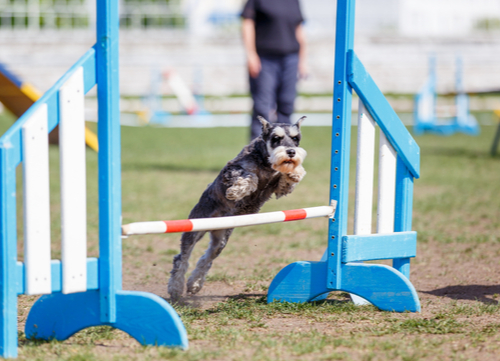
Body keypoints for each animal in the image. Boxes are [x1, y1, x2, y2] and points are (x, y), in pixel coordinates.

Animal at [168, 115, 306, 298]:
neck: (267, 163)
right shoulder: (233, 169)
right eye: (276, 138)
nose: (291, 152)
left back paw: (194, 284)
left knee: (206, 260)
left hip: (220, 240)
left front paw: (295, 172)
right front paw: (237, 191)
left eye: (295, 138)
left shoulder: (278, 187)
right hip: (195, 228)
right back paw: (175, 288)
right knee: (182, 258)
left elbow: (286, 181)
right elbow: (250, 176)